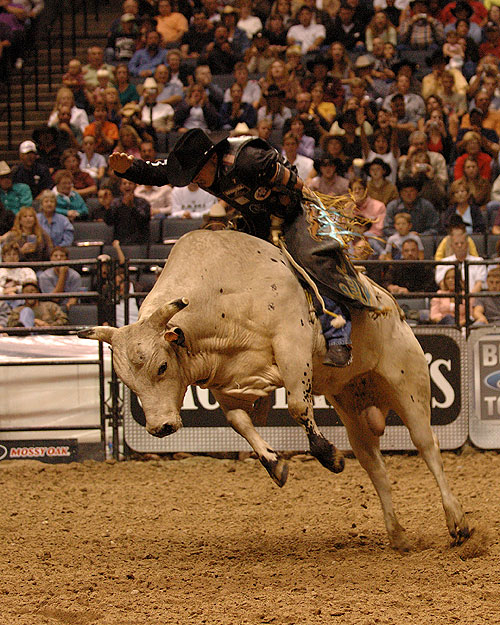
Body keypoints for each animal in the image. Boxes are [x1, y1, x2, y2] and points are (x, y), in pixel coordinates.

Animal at [80, 230, 470, 552]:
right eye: (127, 382)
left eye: (161, 366)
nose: (161, 427)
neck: (223, 293)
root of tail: (394, 309)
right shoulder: (229, 381)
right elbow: (239, 423)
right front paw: (275, 464)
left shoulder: (292, 346)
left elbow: (298, 406)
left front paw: (329, 456)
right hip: (353, 407)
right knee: (374, 464)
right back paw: (398, 534)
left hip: (409, 384)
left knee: (427, 446)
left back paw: (458, 523)